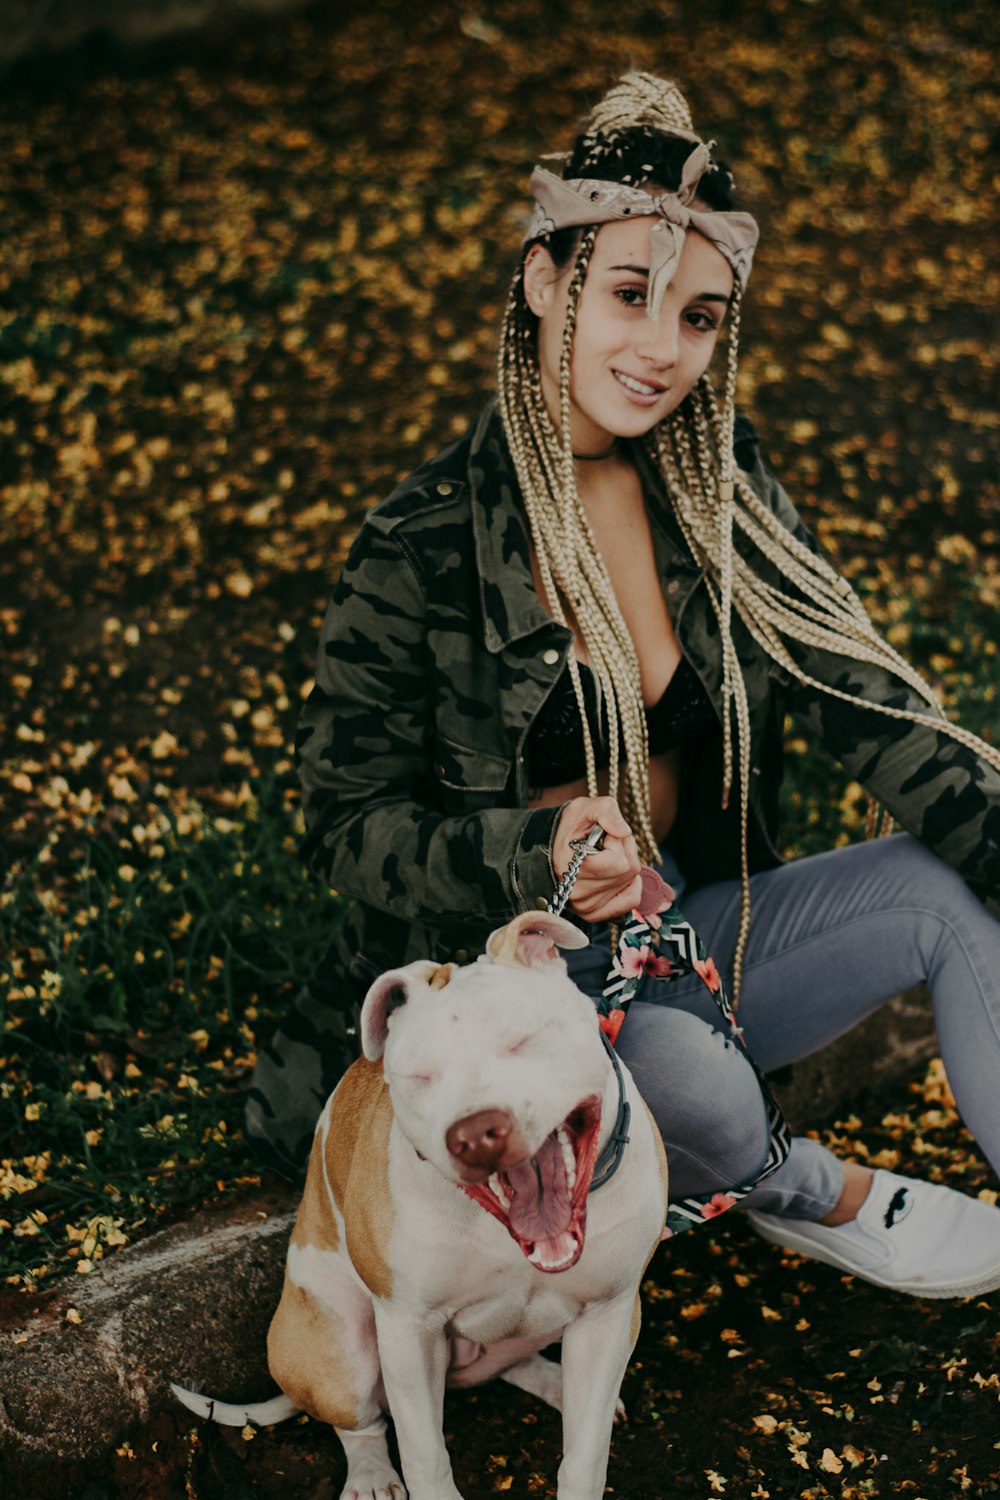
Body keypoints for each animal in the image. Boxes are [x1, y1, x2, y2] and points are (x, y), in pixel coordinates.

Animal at [176, 912, 668, 1500]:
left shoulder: (610, 1313)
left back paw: (554, 1382)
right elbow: (425, 1455)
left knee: (517, 1361)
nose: (476, 1133)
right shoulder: (409, 1329)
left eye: (524, 1040)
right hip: (343, 1345)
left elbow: (585, 1456)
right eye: (420, 1078)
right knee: (360, 1423)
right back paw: (371, 1476)